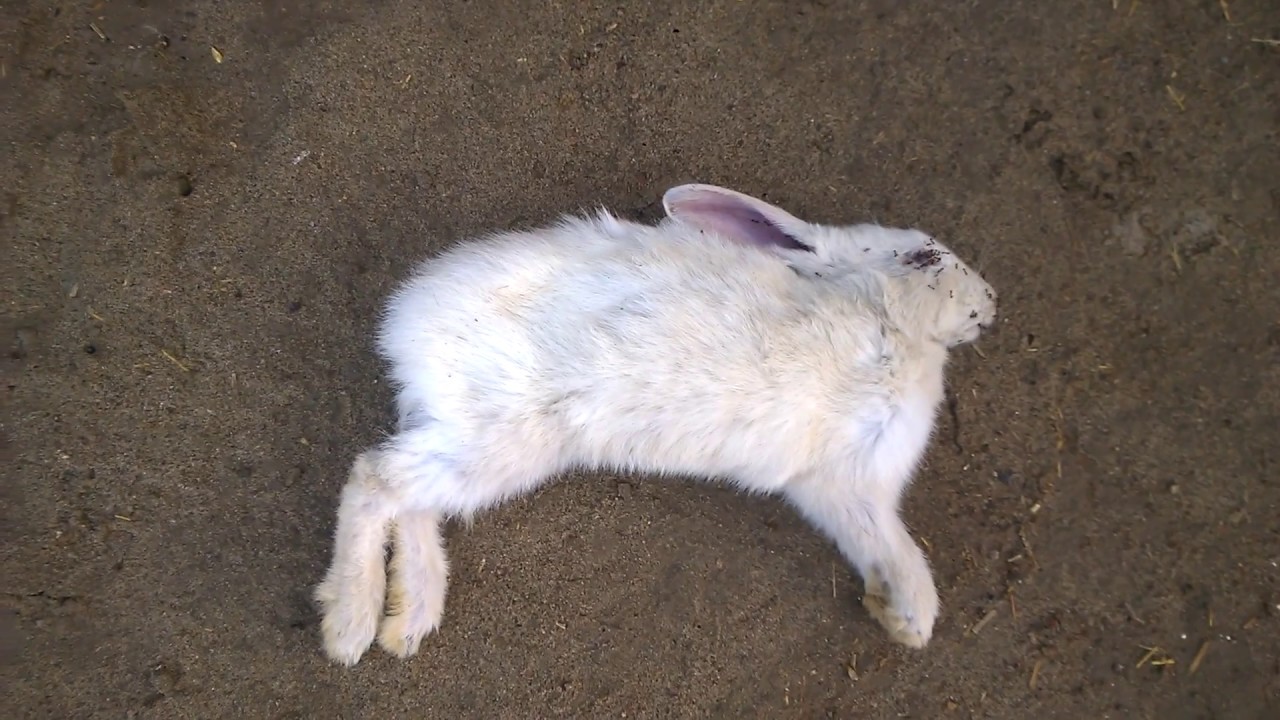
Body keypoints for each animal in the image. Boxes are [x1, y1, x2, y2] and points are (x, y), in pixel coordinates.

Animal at [314, 183, 998, 666]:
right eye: (924, 256)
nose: (991, 300)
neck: (889, 322)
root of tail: (405, 328)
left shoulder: (844, 488)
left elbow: (885, 546)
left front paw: (901, 618)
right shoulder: (851, 472)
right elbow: (902, 552)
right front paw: (912, 615)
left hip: (472, 443)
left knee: (410, 503)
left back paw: (408, 619)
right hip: (499, 439)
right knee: (375, 479)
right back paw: (350, 624)